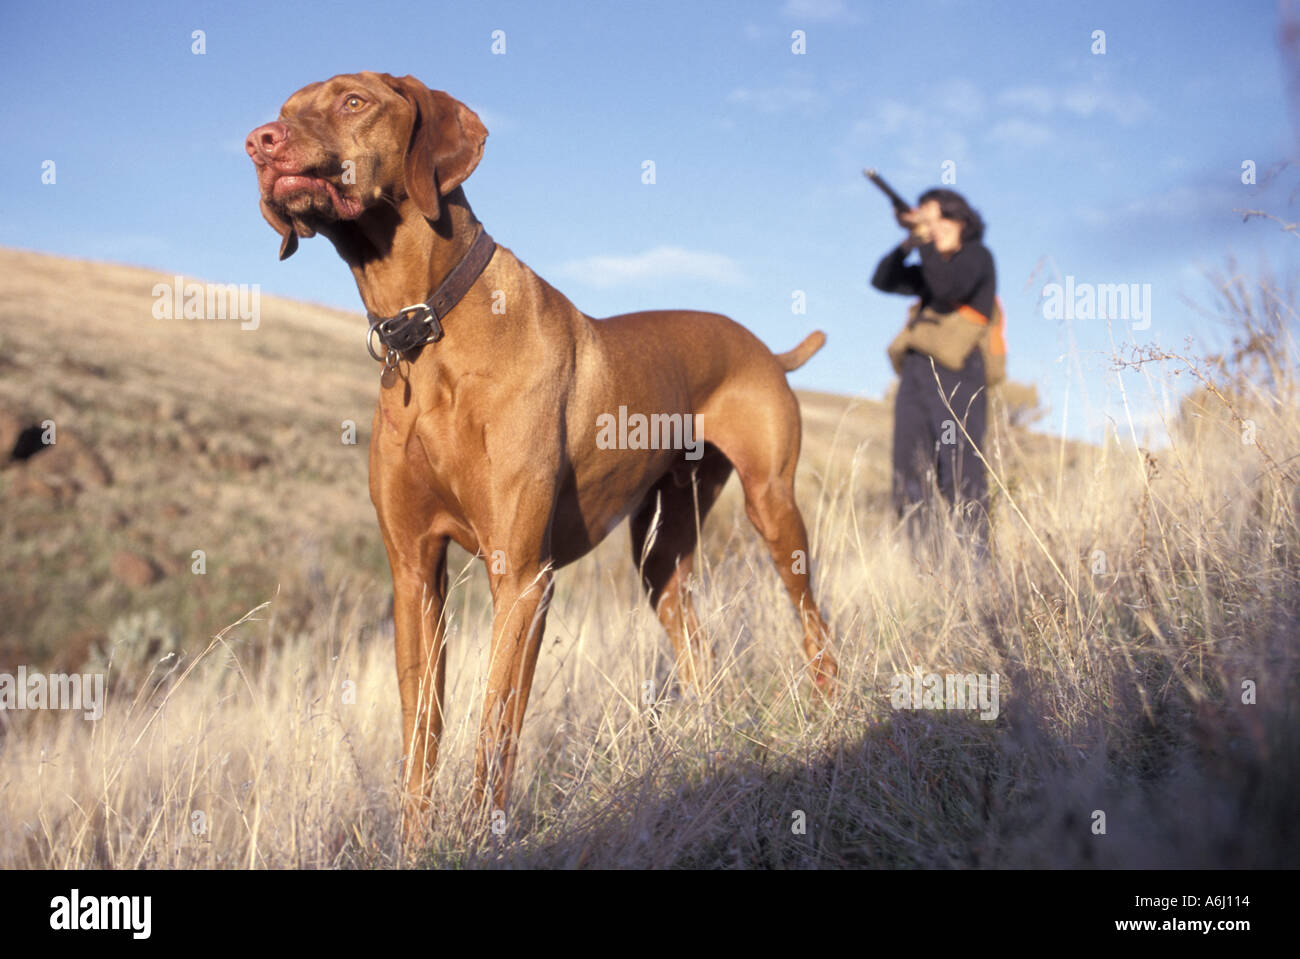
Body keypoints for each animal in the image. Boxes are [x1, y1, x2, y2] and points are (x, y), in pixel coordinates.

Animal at [246, 70, 837, 831]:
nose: (259, 141)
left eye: (354, 101)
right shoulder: (414, 575)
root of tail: (762, 345)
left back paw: (831, 708)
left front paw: (481, 835)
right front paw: (418, 841)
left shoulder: (523, 575)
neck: (428, 330)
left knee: (813, 620)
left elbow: (494, 725)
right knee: (697, 644)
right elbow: (420, 734)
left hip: (773, 507)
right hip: (661, 553)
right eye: (287, 109)